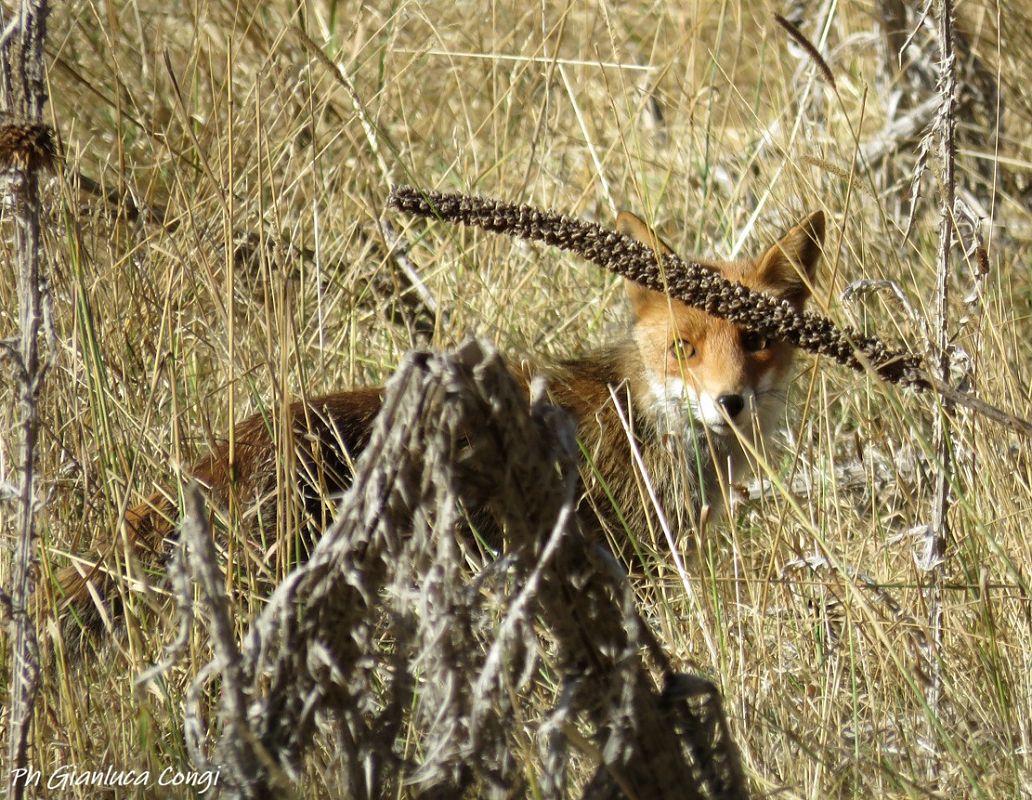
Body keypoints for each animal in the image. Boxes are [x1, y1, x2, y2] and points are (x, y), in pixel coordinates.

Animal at [56, 208, 824, 642]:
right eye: (684, 349)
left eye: (756, 341)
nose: (730, 403)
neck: (646, 421)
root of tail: (219, 454)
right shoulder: (628, 562)